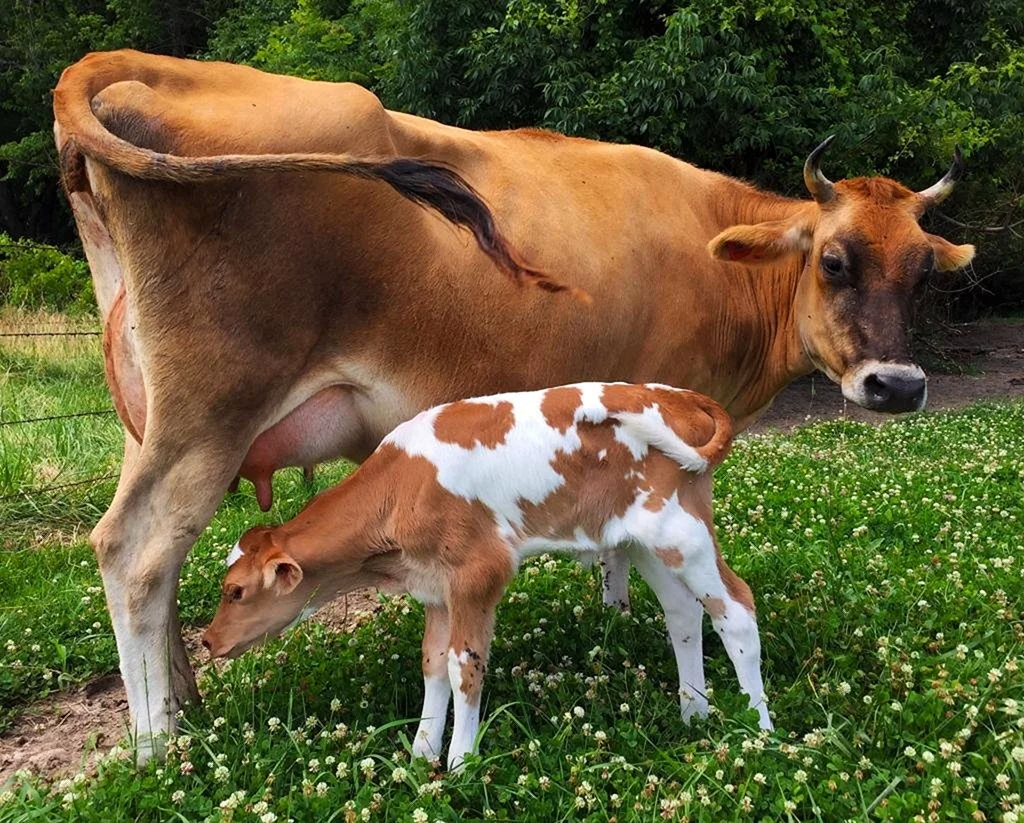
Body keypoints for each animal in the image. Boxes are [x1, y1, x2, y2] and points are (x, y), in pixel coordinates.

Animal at [202, 383, 770, 770]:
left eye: (236, 591)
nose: (208, 640)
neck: (400, 486)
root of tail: (678, 395)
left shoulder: (476, 573)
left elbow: (464, 667)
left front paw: (460, 762)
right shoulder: (434, 586)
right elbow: (432, 663)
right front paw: (421, 753)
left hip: (684, 531)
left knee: (736, 610)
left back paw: (759, 729)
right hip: (645, 540)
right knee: (684, 613)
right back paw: (693, 715)